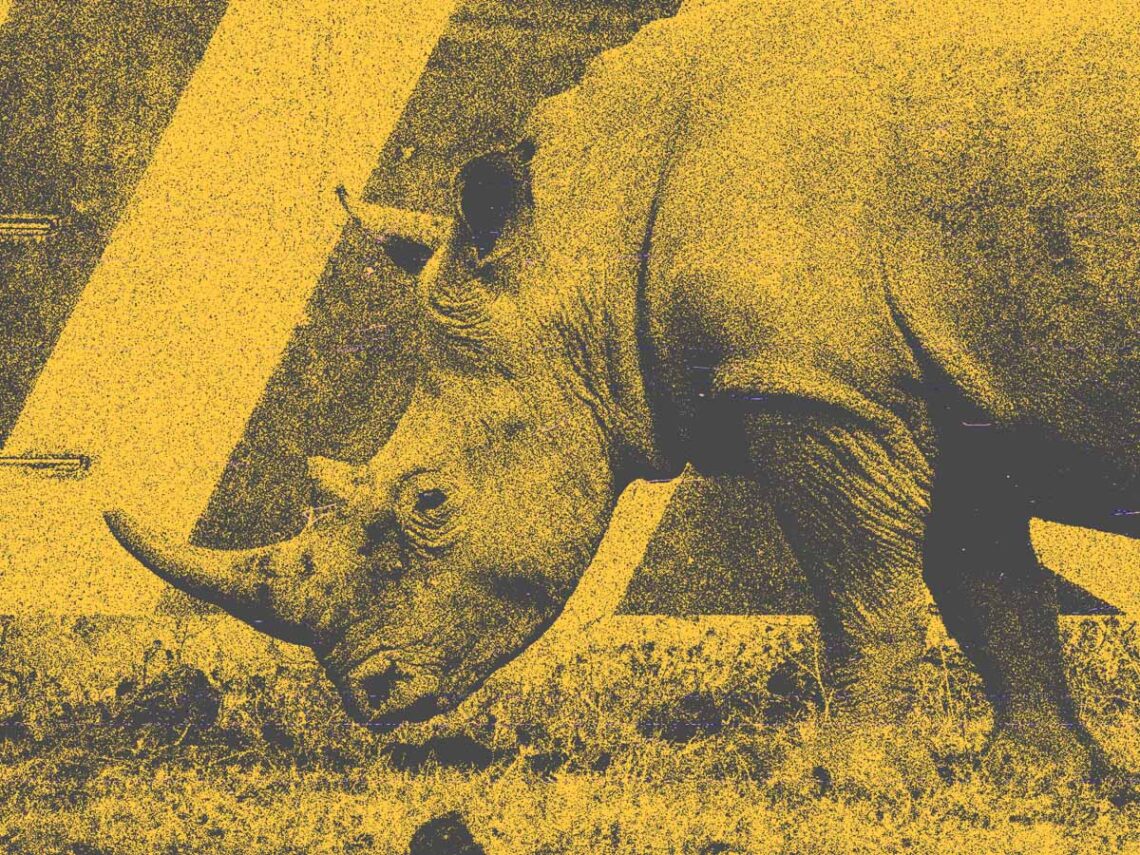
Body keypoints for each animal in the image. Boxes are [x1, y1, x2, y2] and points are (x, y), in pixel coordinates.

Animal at [107, 0, 1138, 786]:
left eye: (430, 502)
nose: (374, 693)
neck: (583, 237)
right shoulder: (930, 394)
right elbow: (990, 589)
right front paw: (1040, 777)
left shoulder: (816, 392)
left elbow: (863, 592)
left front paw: (851, 783)